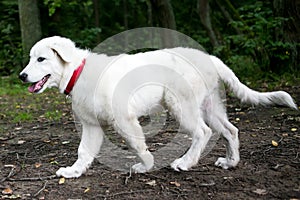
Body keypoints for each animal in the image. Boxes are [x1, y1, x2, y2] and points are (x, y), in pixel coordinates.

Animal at [19, 36, 298, 178]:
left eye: (41, 59)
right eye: (31, 58)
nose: (22, 76)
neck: (78, 71)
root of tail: (210, 58)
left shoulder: (124, 119)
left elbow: (137, 145)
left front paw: (146, 166)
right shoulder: (91, 125)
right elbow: (83, 151)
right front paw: (73, 171)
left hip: (181, 105)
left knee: (203, 132)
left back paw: (184, 163)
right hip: (210, 106)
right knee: (230, 131)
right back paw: (231, 163)